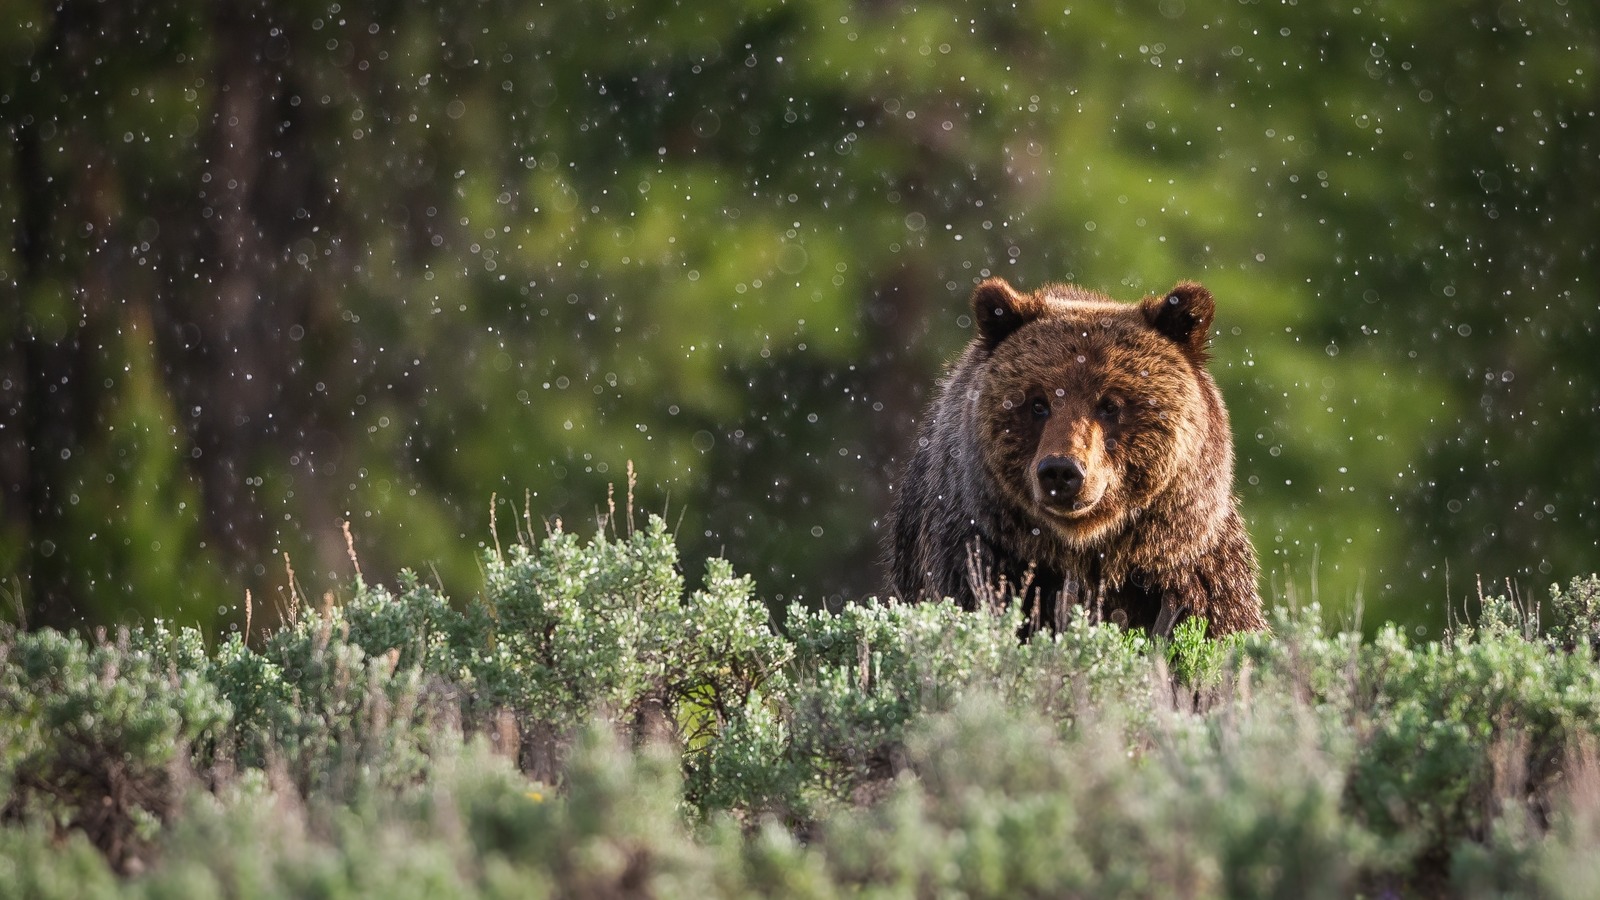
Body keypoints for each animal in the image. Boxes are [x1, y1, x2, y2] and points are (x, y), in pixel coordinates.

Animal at [889, 277, 1260, 634]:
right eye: (1037, 403)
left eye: (1110, 404)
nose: (1061, 470)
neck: (1087, 551)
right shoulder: (980, 554)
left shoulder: (1192, 571)